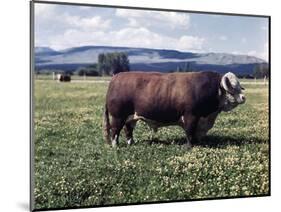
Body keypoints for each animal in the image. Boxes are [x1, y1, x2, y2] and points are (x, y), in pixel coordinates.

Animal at [103, 71, 245, 149]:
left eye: (239, 86)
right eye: (233, 87)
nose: (244, 97)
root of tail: (115, 77)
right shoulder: (191, 116)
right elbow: (190, 132)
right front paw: (189, 146)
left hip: (131, 117)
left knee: (128, 130)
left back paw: (131, 142)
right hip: (118, 116)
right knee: (115, 131)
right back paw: (116, 146)